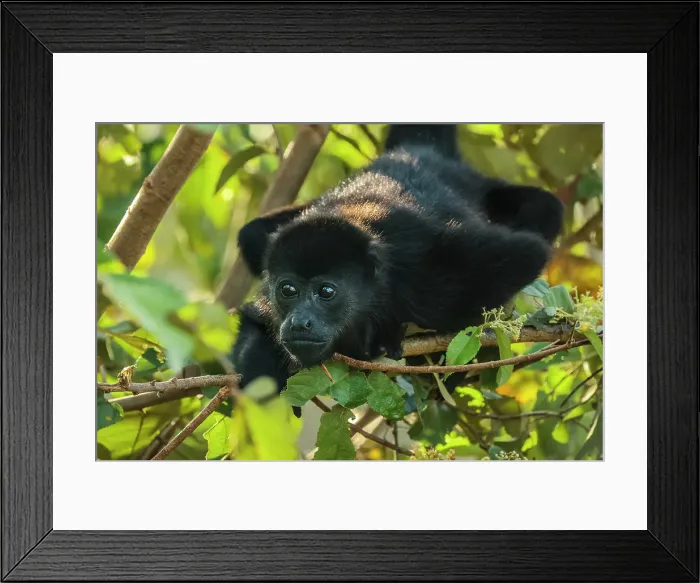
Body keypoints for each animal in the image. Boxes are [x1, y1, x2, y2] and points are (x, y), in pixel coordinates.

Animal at [231, 124, 564, 414]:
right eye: (288, 289)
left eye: (326, 291)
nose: (300, 323)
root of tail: (416, 150)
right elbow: (255, 320)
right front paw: (259, 374)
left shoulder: (428, 273)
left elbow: (527, 253)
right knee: (251, 234)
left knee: (547, 208)